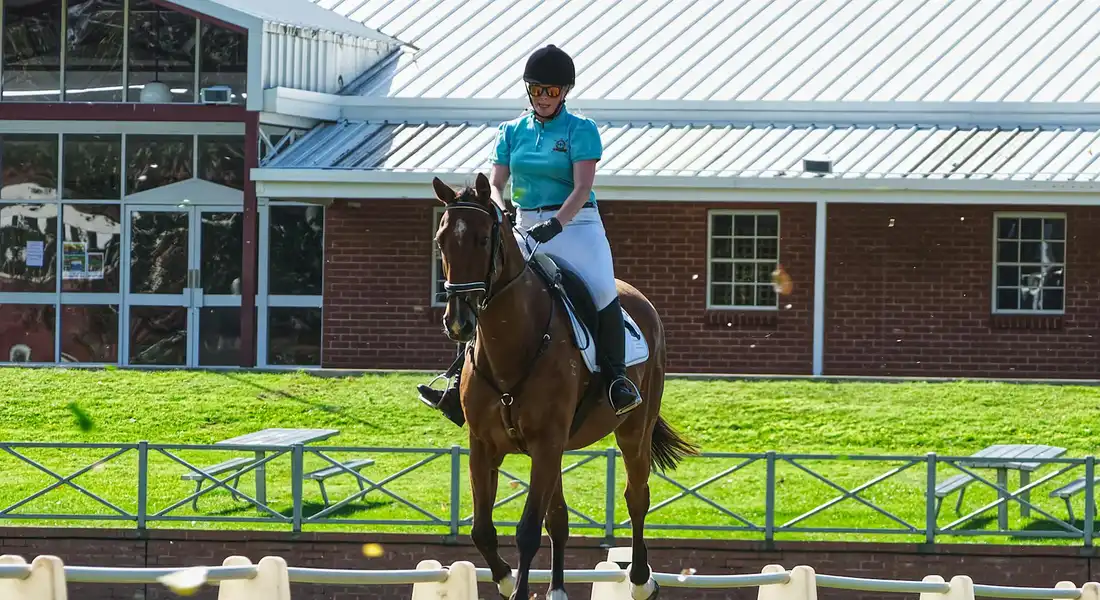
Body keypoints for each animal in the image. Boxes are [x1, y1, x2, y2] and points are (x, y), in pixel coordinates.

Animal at [430, 173, 699, 600]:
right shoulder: (485, 445)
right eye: (441, 240)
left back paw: (641, 579)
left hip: (632, 431)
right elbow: (483, 530)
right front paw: (506, 580)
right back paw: (557, 589)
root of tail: (640, 300)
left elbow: (526, 530)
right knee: (558, 517)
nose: (458, 322)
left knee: (636, 498)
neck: (512, 343)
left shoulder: (545, 442)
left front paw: (517, 587)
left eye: (482, 240)